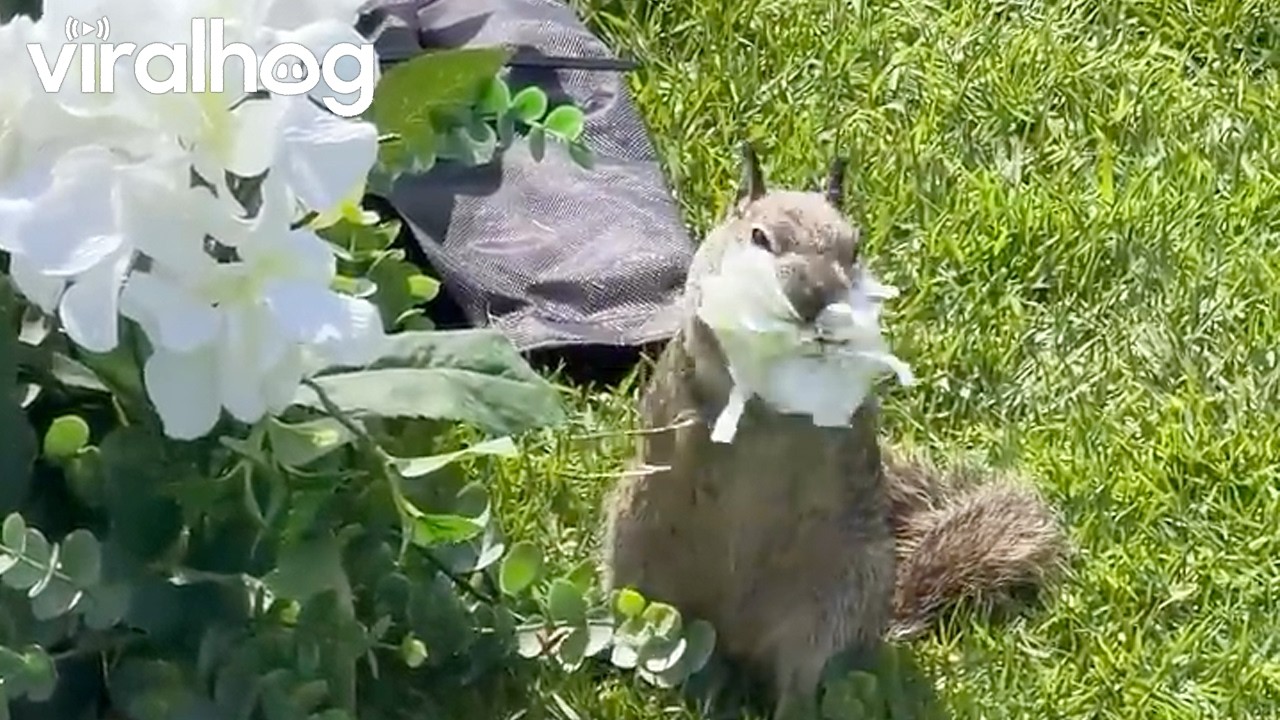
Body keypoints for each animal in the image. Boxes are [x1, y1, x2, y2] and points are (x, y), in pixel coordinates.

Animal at [601, 143, 1067, 718]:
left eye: (855, 247)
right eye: (760, 236)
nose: (817, 297)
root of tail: (737, 638)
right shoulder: (701, 329)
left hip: (833, 596)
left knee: (799, 674)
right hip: (641, 556)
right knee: (677, 649)